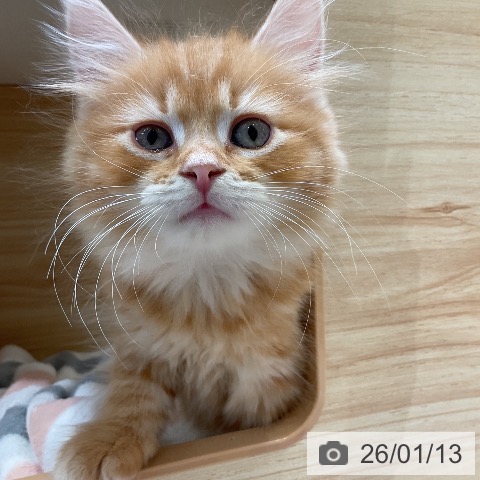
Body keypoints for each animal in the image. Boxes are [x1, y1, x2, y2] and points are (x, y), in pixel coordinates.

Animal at [45, 0, 346, 478]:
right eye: (152, 137)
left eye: (251, 133)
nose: (202, 169)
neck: (207, 296)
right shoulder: (134, 342)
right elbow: (132, 389)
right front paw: (109, 438)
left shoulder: (273, 374)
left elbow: (253, 397)